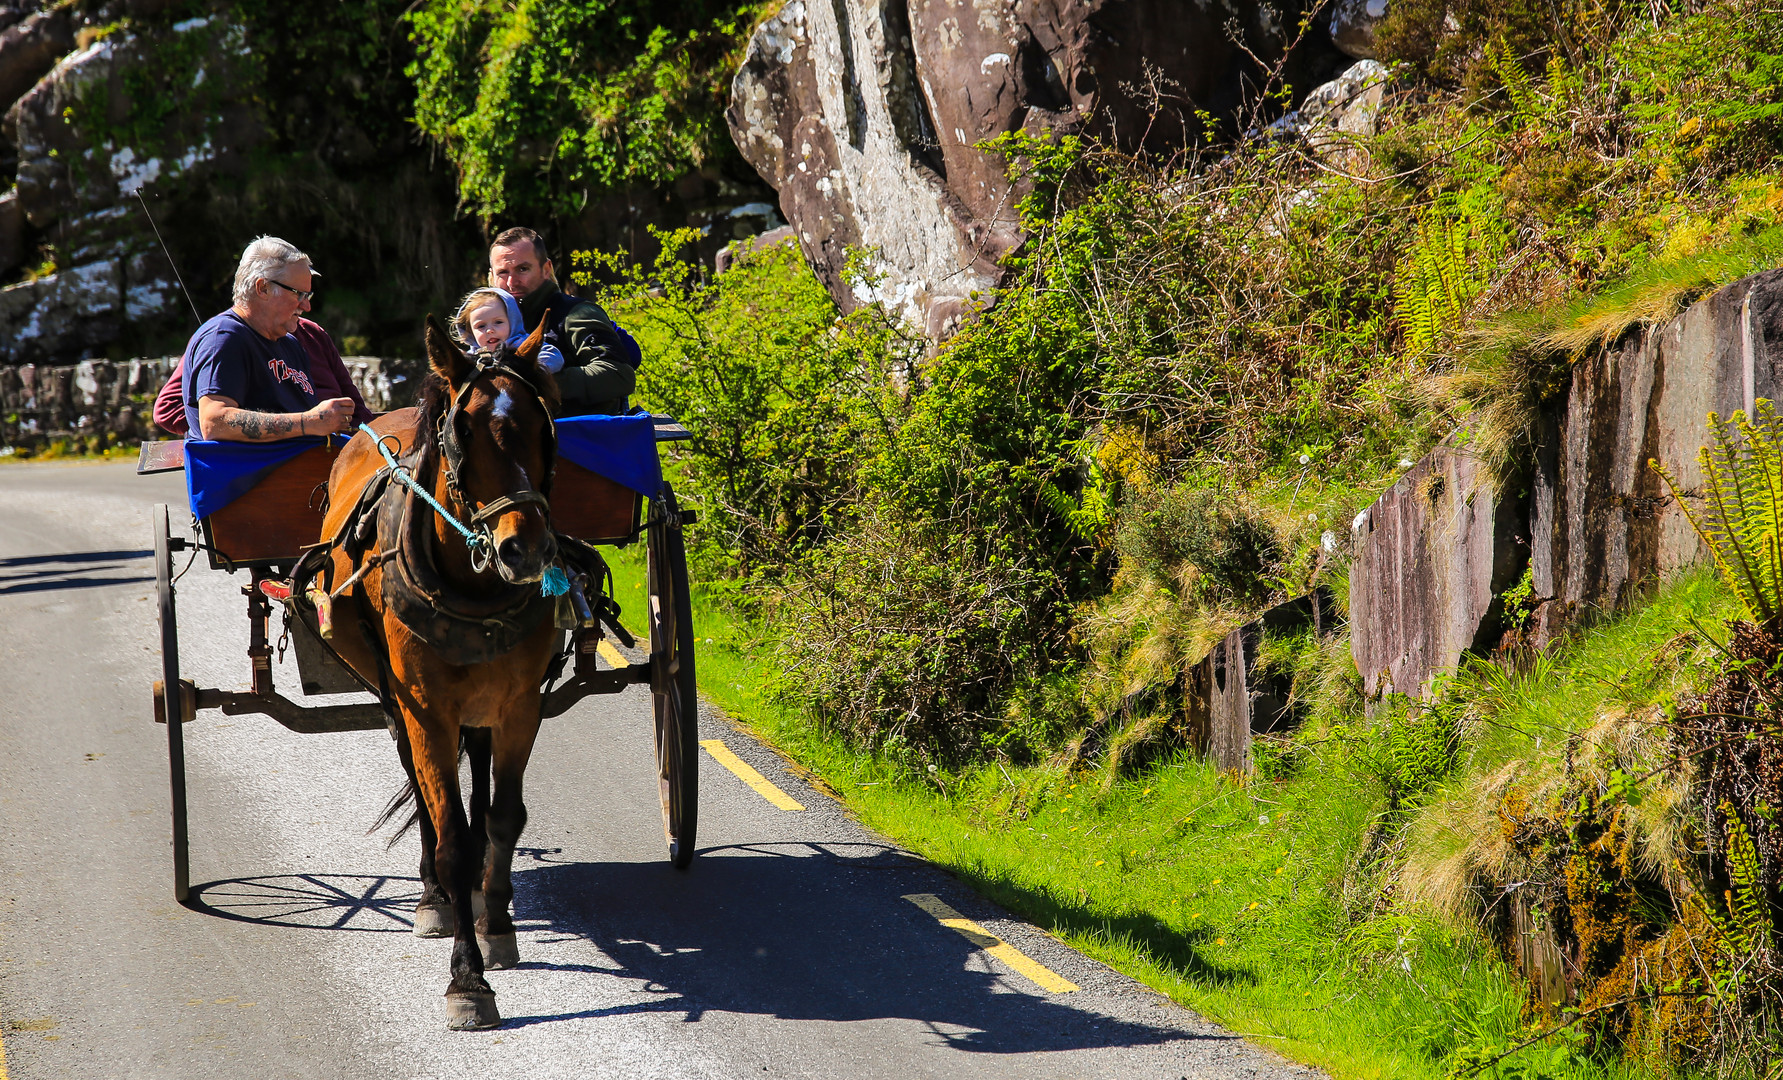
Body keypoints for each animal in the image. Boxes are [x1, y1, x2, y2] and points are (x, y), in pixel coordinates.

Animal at [299, 313, 559, 1033]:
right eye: (462, 431)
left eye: (543, 423)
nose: (524, 550)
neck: (474, 587)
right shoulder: (426, 707)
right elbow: (452, 838)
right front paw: (466, 981)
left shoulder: (519, 704)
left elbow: (503, 818)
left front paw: (495, 925)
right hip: (395, 698)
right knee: (421, 789)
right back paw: (435, 897)